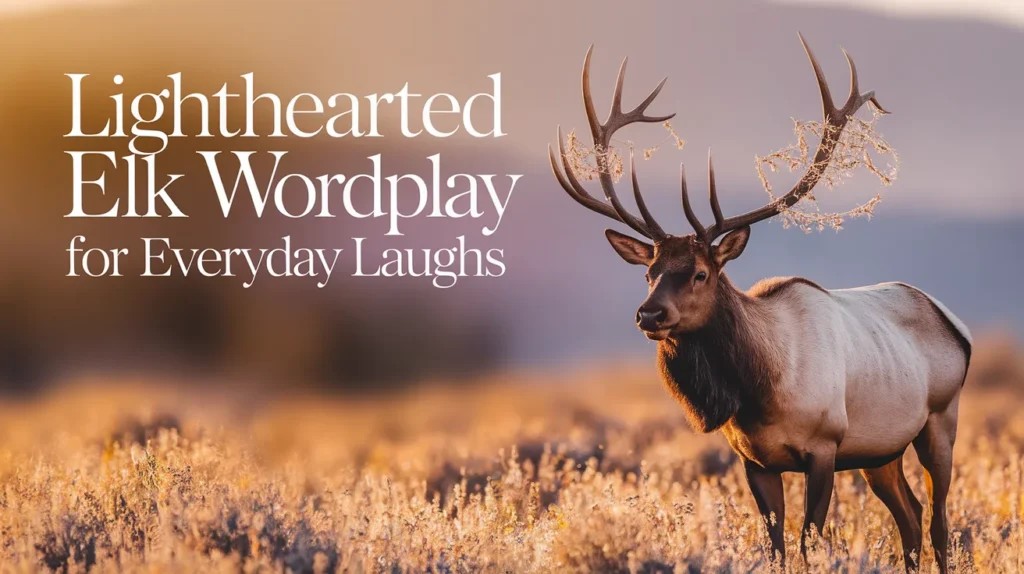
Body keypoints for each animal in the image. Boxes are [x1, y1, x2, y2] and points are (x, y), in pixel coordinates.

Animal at [548, 35, 972, 573]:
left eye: (701, 273)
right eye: (649, 273)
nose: (650, 314)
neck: (760, 390)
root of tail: (954, 322)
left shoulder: (825, 447)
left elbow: (811, 542)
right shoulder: (754, 460)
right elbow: (776, 547)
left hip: (941, 419)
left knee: (939, 521)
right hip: (881, 451)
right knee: (911, 518)